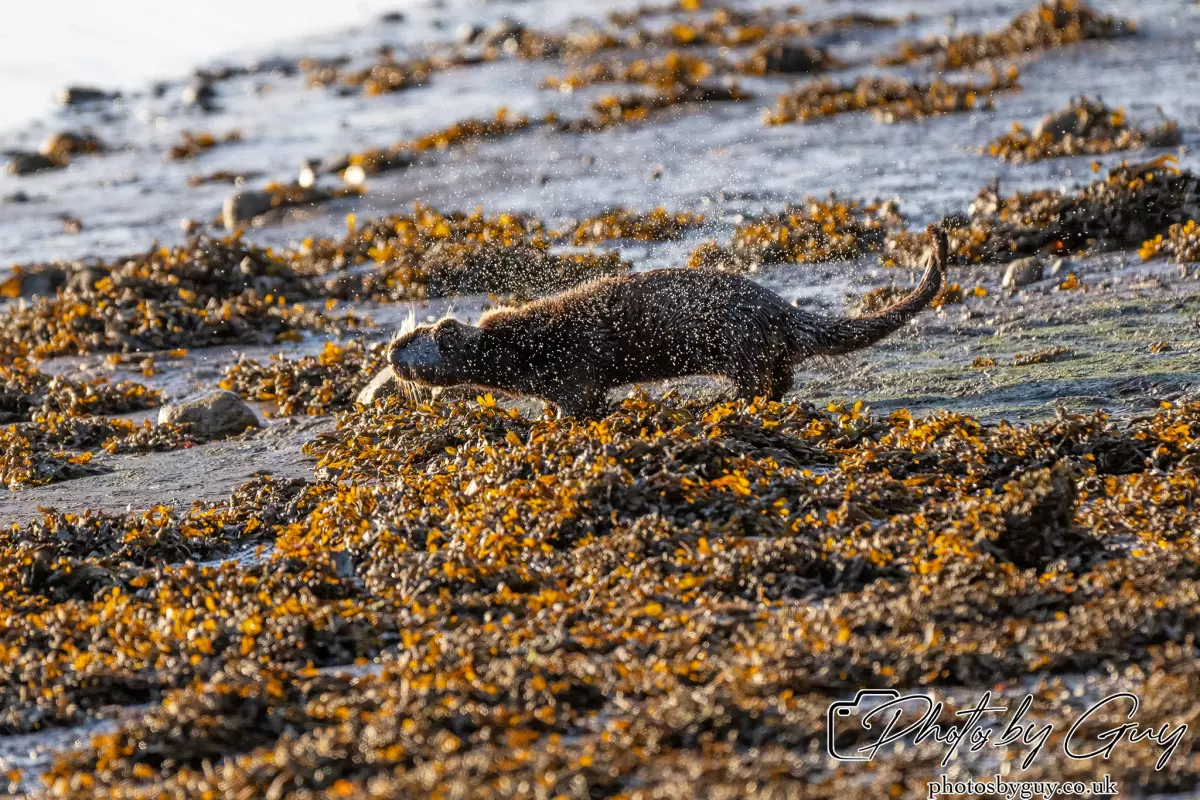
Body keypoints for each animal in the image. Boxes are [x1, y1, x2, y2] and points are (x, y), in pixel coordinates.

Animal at [389, 226, 948, 417]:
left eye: (412, 342)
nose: (389, 353)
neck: (518, 345)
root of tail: (778, 307)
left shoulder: (571, 369)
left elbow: (579, 401)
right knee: (782, 375)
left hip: (739, 340)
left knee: (760, 379)